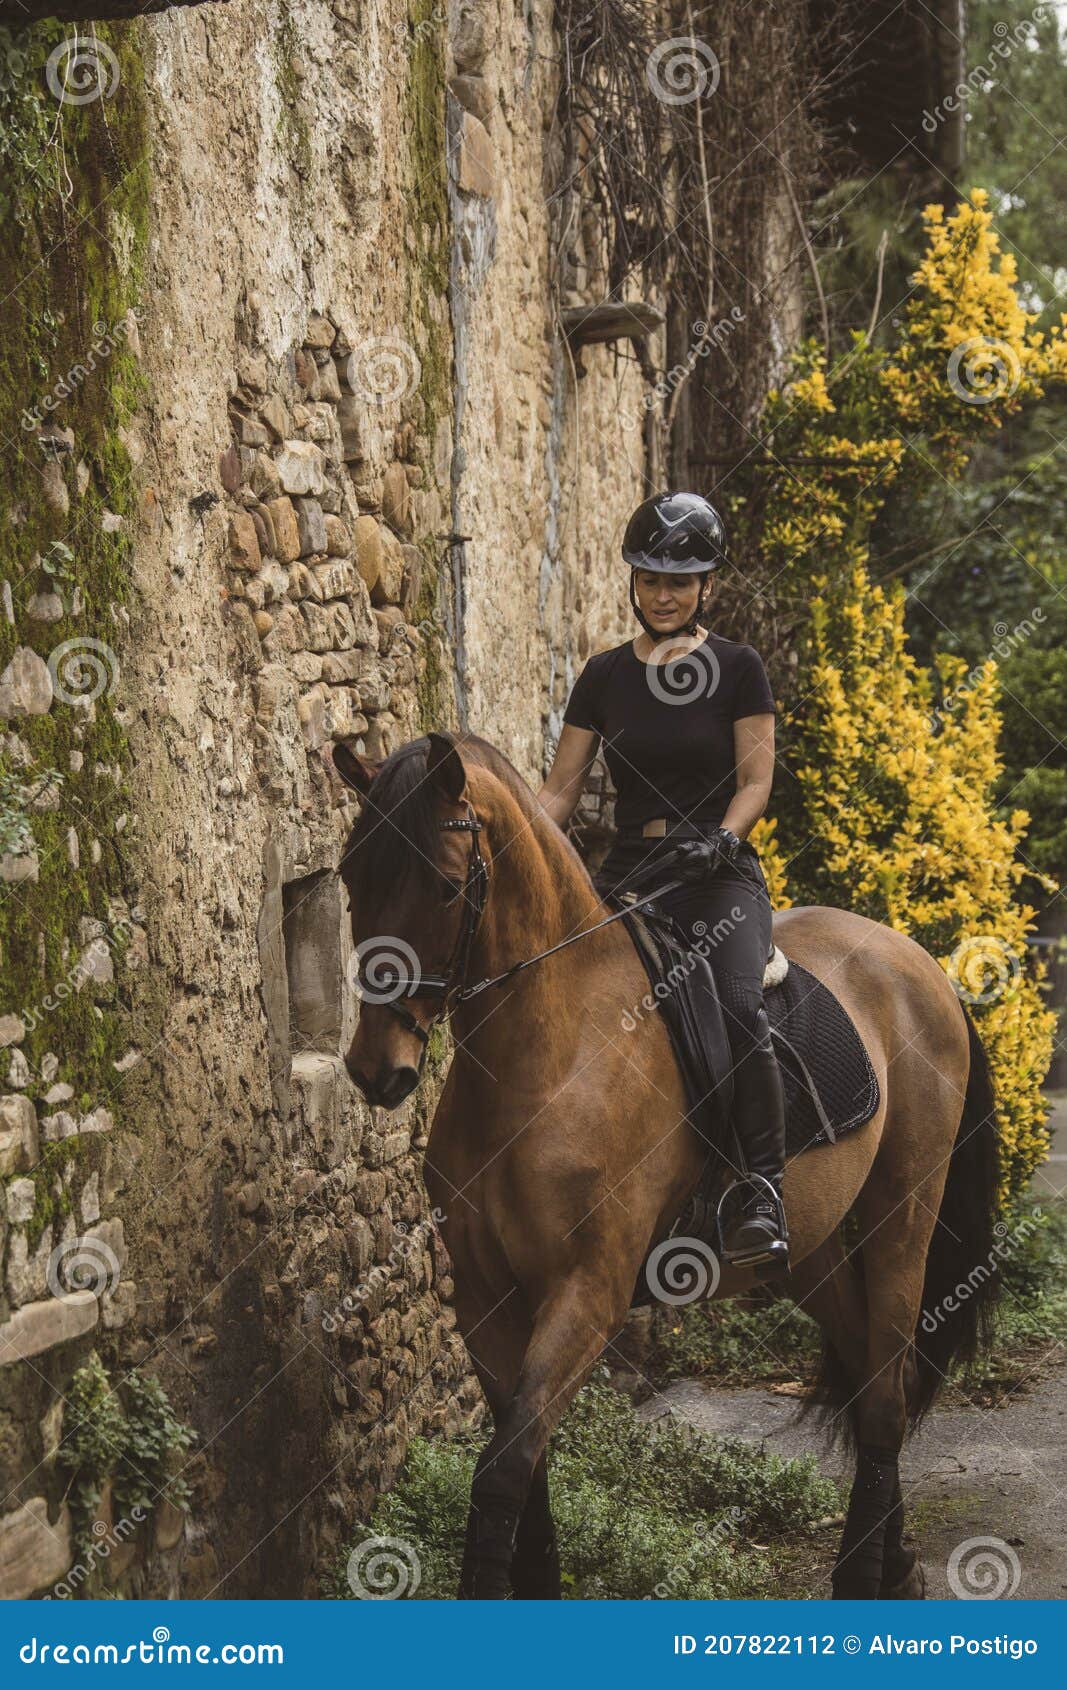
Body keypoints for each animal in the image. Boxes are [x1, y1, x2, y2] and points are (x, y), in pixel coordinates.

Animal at [334, 726, 1001, 1595]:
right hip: (810, 1251)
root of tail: (916, 962)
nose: (375, 1069)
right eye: (349, 881)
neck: (550, 1053)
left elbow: (504, 1468)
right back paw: (899, 1566)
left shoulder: (589, 1292)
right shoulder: (483, 1297)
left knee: (886, 1393)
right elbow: (525, 1464)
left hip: (902, 1213)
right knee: (865, 1378)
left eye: (446, 888)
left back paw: (863, 1579)